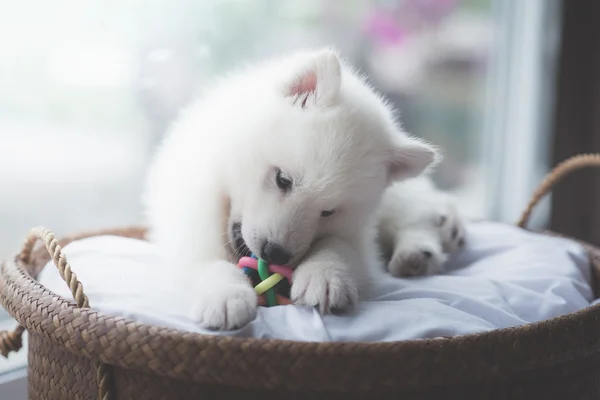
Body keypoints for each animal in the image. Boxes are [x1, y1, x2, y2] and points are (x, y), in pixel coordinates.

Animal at [143, 48, 466, 330]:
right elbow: (208, 261)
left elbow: (337, 247)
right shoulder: (188, 223)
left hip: (399, 201)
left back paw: (418, 252)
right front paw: (226, 296)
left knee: (419, 215)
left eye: (328, 211)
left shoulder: (356, 237)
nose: (275, 254)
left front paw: (324, 277)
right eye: (283, 179)